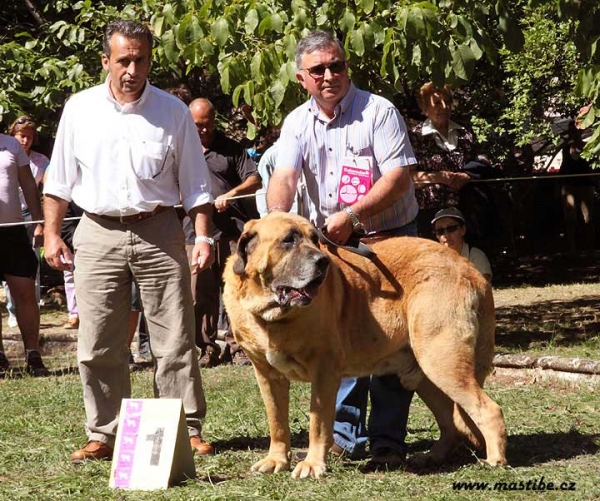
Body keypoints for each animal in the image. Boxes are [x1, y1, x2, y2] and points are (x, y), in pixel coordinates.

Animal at [220, 210, 506, 476]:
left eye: (315, 239)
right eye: (288, 240)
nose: (323, 261)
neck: (270, 314)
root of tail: (469, 268)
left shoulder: (324, 371)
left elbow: (317, 423)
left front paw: (312, 464)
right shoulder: (267, 375)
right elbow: (277, 421)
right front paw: (276, 460)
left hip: (441, 360)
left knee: (488, 409)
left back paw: (494, 460)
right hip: (425, 374)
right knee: (451, 422)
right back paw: (431, 457)